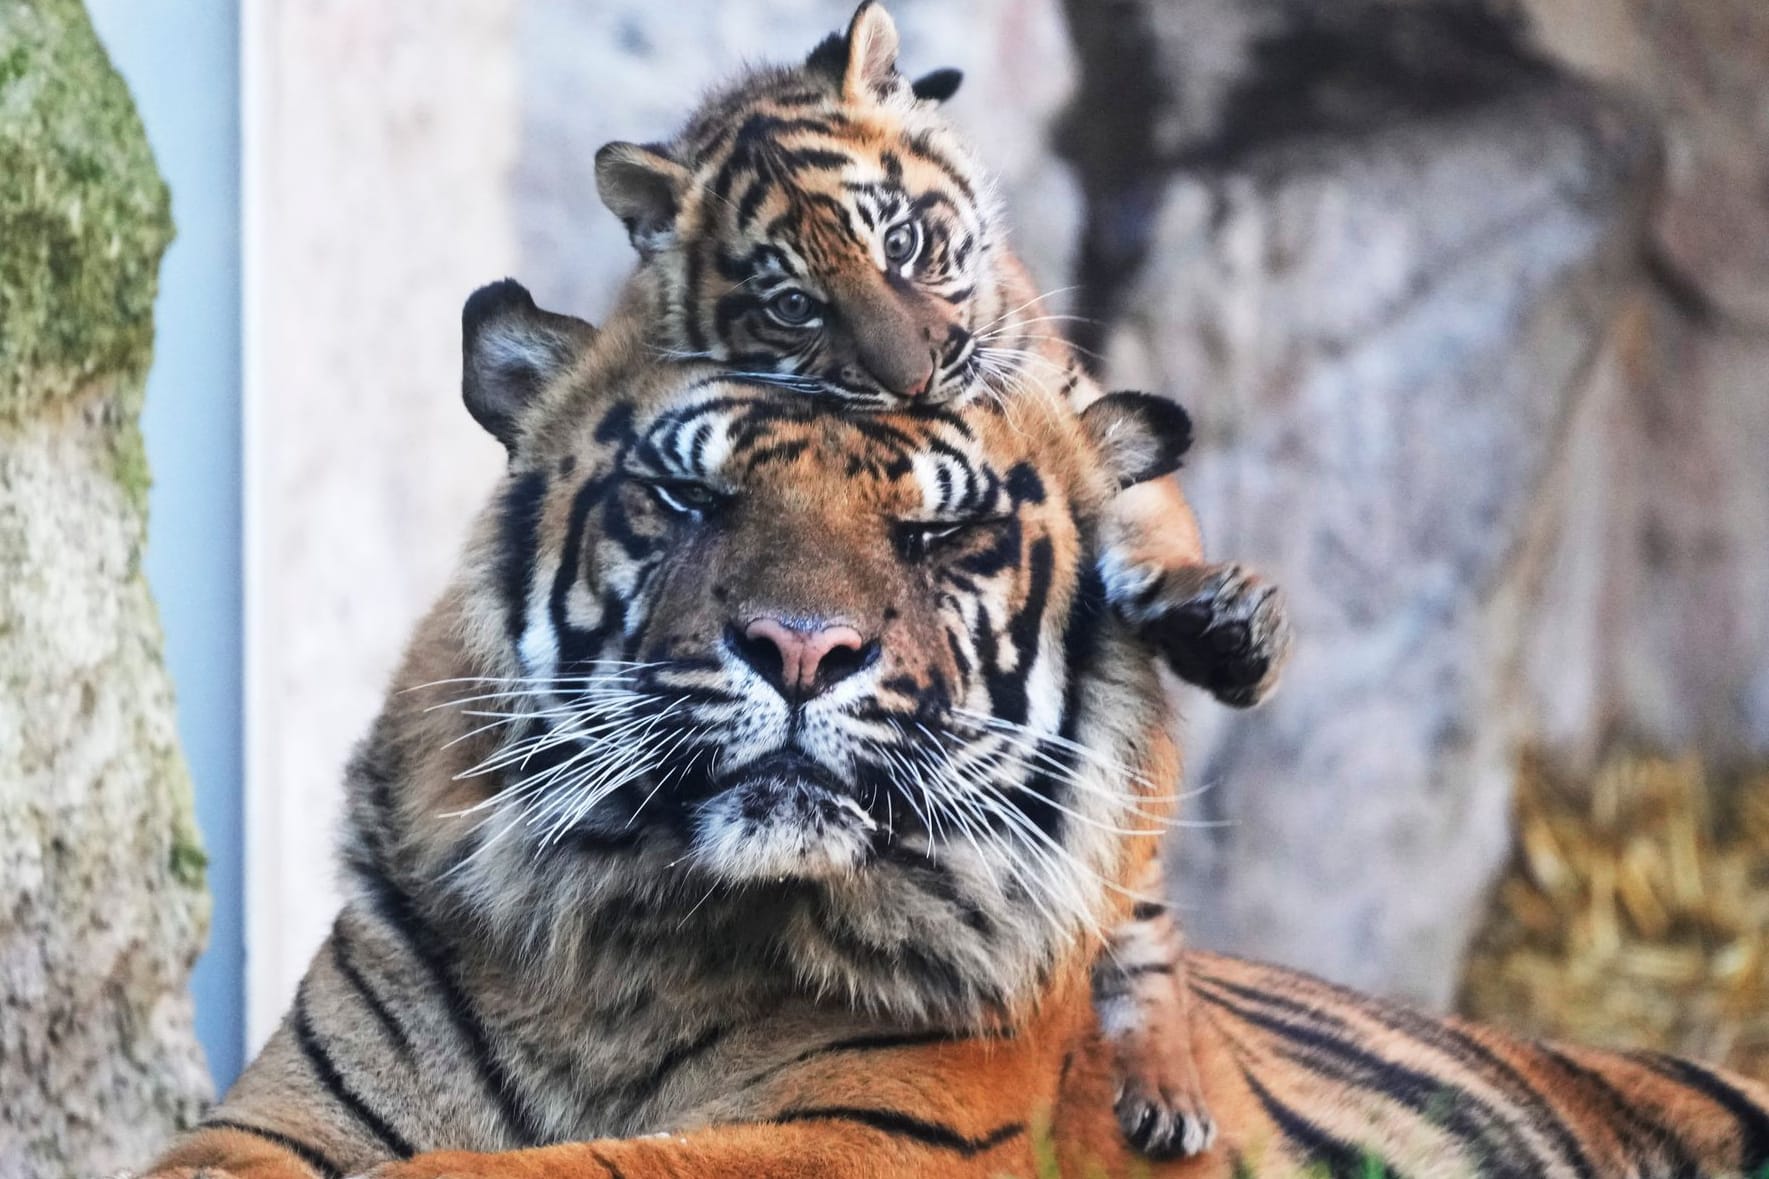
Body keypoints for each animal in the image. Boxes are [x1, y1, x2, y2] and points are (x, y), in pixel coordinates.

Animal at [148, 283, 1769, 1175]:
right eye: (686, 493)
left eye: (936, 535)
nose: (800, 650)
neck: (626, 951)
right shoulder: (283, 1109)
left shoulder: (862, 1133)